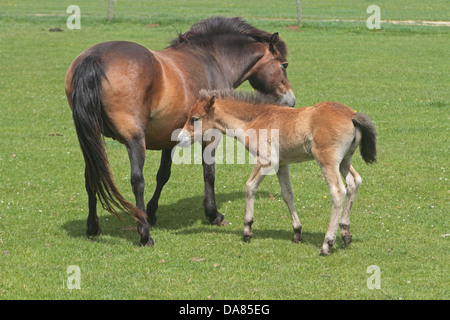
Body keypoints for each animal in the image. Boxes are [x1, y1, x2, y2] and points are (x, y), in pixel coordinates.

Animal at [64, 16, 296, 245]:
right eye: (284, 65)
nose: (291, 101)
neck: (213, 58)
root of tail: (94, 58)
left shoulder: (170, 137)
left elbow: (163, 174)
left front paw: (152, 212)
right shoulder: (210, 135)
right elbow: (209, 173)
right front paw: (213, 214)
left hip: (91, 140)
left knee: (91, 176)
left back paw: (93, 227)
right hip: (135, 141)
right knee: (137, 181)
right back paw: (144, 234)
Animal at [178, 90, 378, 255]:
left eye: (194, 118)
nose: (179, 138)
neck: (255, 119)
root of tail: (351, 115)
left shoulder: (266, 161)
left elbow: (249, 187)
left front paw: (247, 230)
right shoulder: (282, 164)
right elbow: (287, 194)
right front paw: (297, 232)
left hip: (327, 160)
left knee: (337, 191)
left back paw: (327, 244)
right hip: (344, 161)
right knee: (354, 182)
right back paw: (345, 234)